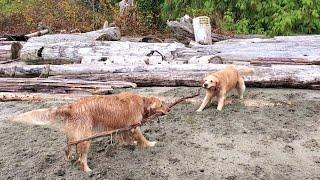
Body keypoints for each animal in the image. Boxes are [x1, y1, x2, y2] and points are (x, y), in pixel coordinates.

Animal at [11, 92, 170, 172]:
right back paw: (88, 171)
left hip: (73, 136)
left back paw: (70, 158)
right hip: (86, 138)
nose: (169, 109)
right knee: (82, 159)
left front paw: (129, 144)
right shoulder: (134, 126)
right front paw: (149, 144)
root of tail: (71, 107)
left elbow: (124, 137)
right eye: (162, 104)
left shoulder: (122, 126)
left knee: (67, 149)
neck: (142, 102)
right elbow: (141, 138)